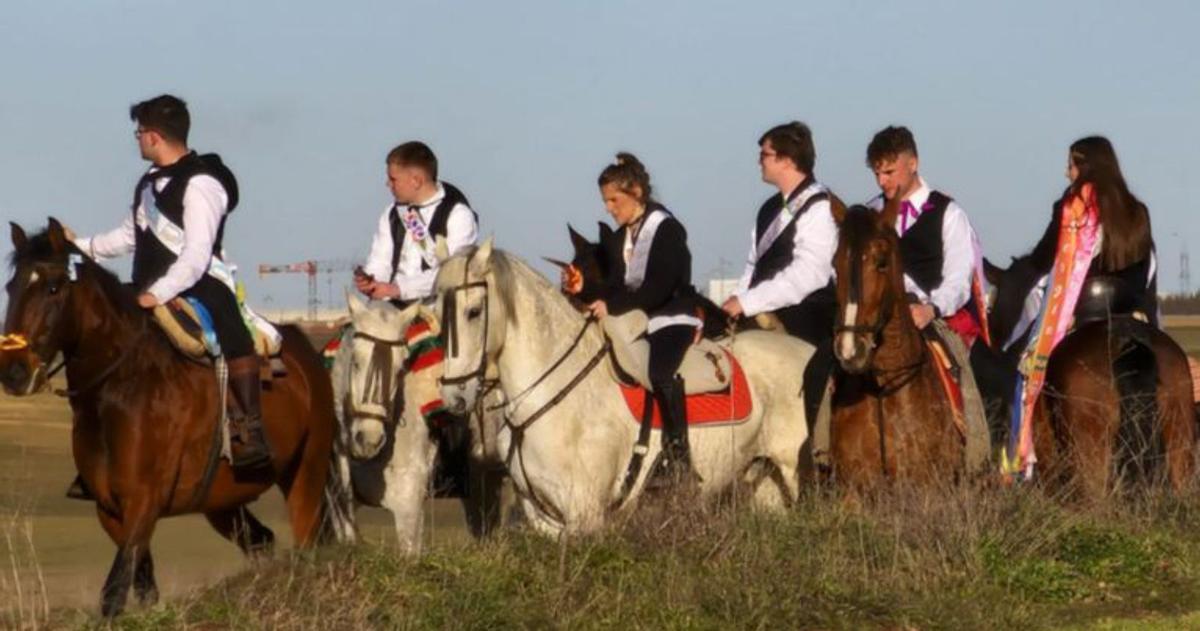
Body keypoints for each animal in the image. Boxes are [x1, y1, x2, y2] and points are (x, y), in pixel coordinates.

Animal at [2, 220, 338, 614]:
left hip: (305, 474)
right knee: (261, 539)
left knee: (306, 541)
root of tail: (307, 353)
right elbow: (143, 585)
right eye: (11, 286)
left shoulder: (144, 503)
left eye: (53, 287)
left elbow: (114, 592)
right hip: (225, 499)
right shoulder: (111, 512)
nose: (14, 372)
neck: (121, 387)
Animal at [434, 239, 816, 537]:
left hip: (793, 472)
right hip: (766, 483)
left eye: (473, 311)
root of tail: (806, 349)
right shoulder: (544, 518)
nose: (454, 396)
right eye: (437, 312)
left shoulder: (585, 515)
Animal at [830, 201, 979, 489]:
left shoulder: (928, 485)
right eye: (835, 264)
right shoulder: (852, 487)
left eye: (881, 263)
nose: (850, 350)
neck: (885, 391)